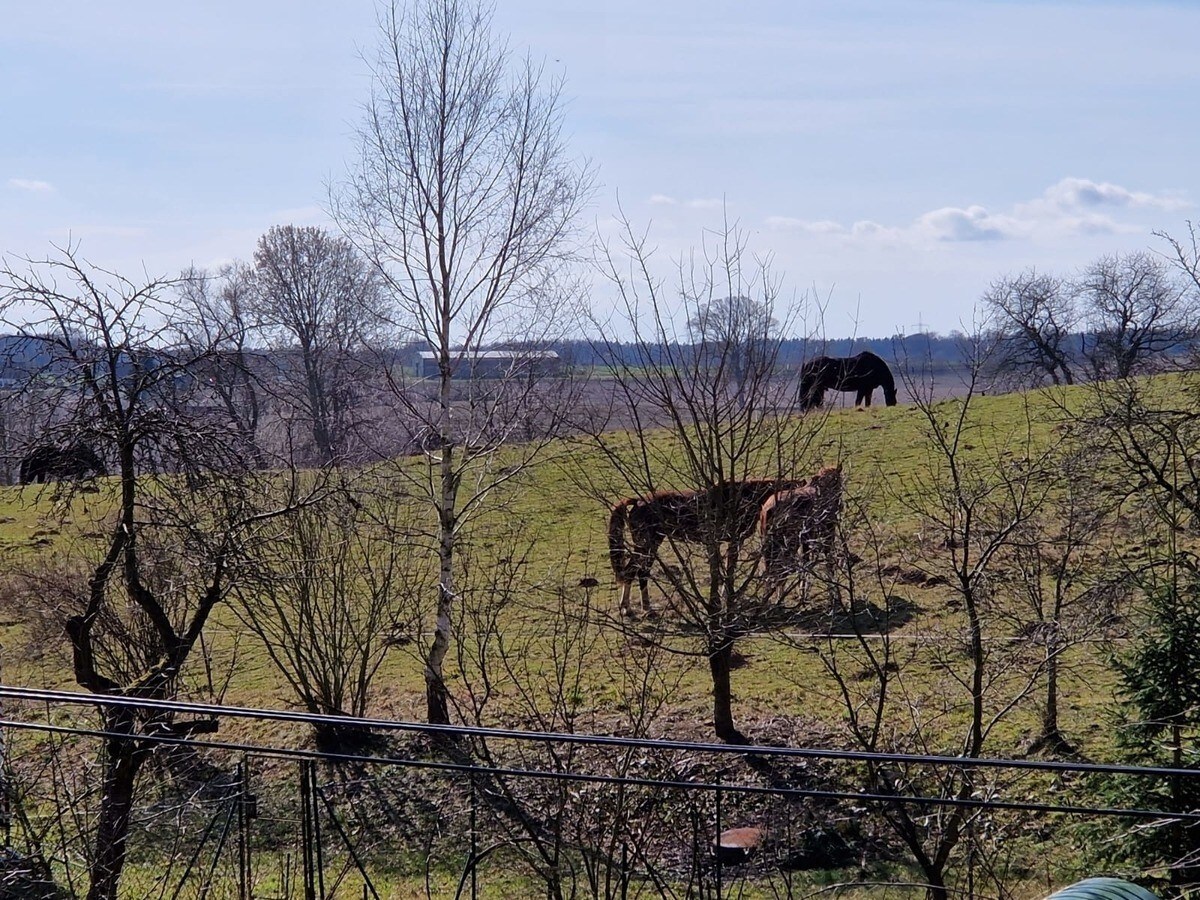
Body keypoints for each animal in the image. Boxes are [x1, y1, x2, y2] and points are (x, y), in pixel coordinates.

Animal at [609, 480, 806, 619]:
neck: (741, 497)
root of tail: (638, 502)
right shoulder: (735, 541)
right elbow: (729, 568)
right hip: (647, 544)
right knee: (634, 572)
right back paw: (634, 609)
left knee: (638, 572)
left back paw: (638, 608)